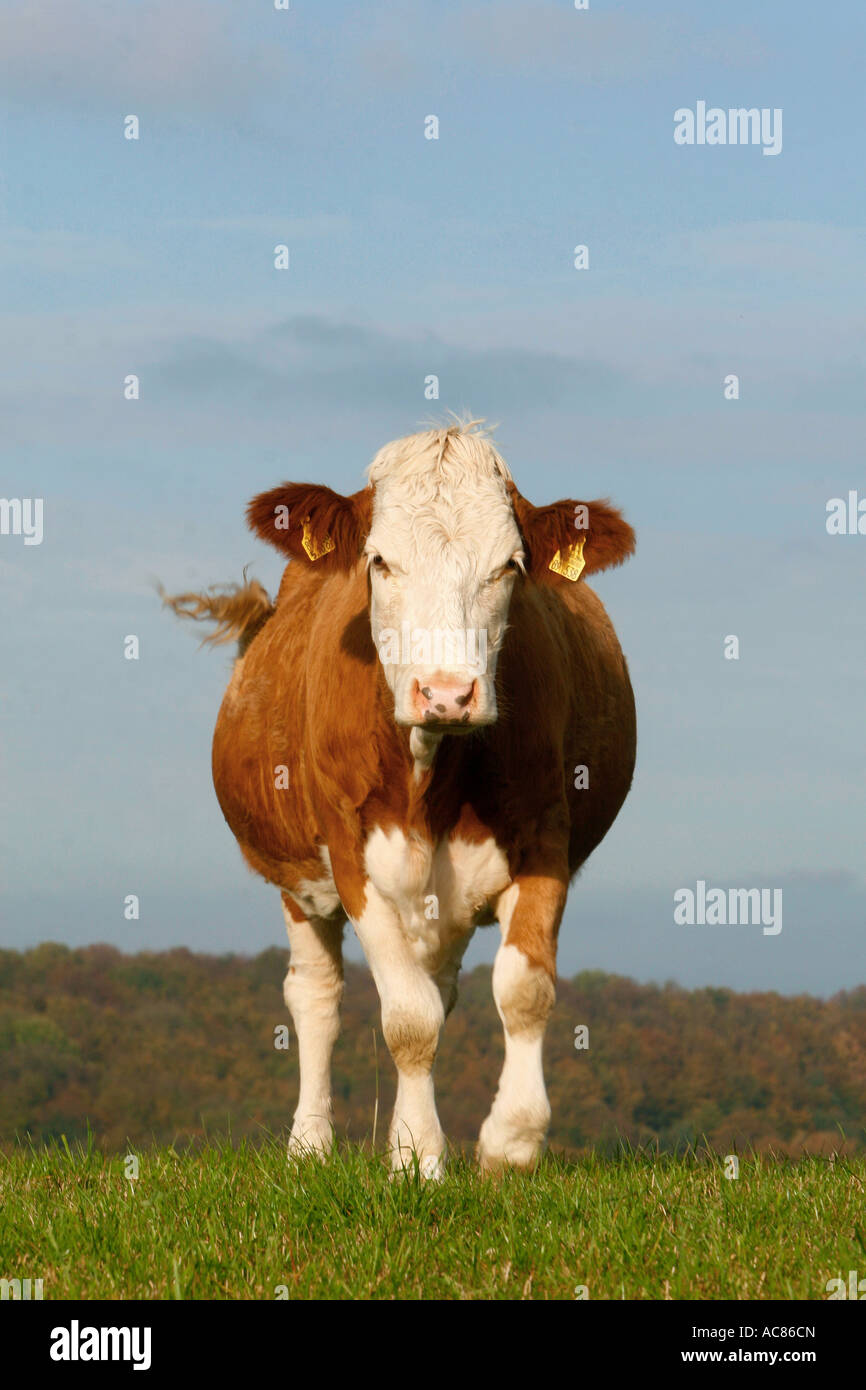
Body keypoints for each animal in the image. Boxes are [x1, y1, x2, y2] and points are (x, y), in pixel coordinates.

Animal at [164, 420, 636, 1177]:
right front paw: (419, 1157)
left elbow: (522, 990)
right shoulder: (350, 853)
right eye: (380, 561)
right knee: (316, 995)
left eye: (510, 565)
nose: (446, 692)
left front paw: (509, 1141)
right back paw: (310, 1146)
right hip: (298, 878)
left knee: (436, 984)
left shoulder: (545, 836)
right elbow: (407, 1018)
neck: (430, 774)